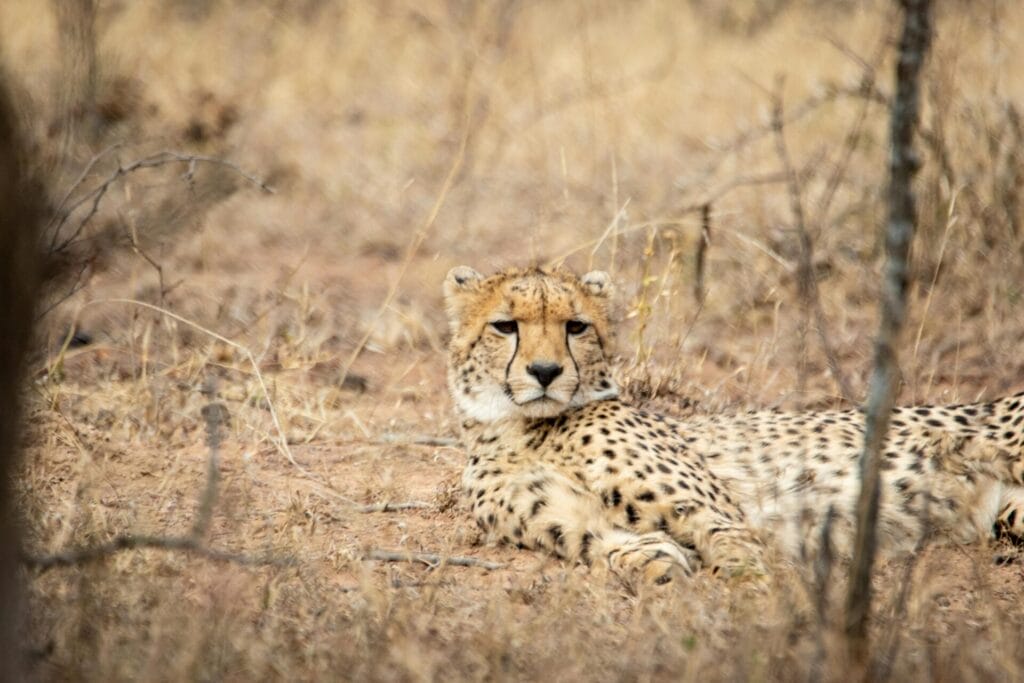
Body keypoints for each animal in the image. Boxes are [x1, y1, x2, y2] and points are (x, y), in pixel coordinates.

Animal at [443, 265, 1024, 584]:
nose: (545, 372)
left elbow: (734, 545)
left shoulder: (717, 512)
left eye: (576, 326)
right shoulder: (565, 520)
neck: (527, 430)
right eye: (505, 326)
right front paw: (655, 562)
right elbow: (607, 543)